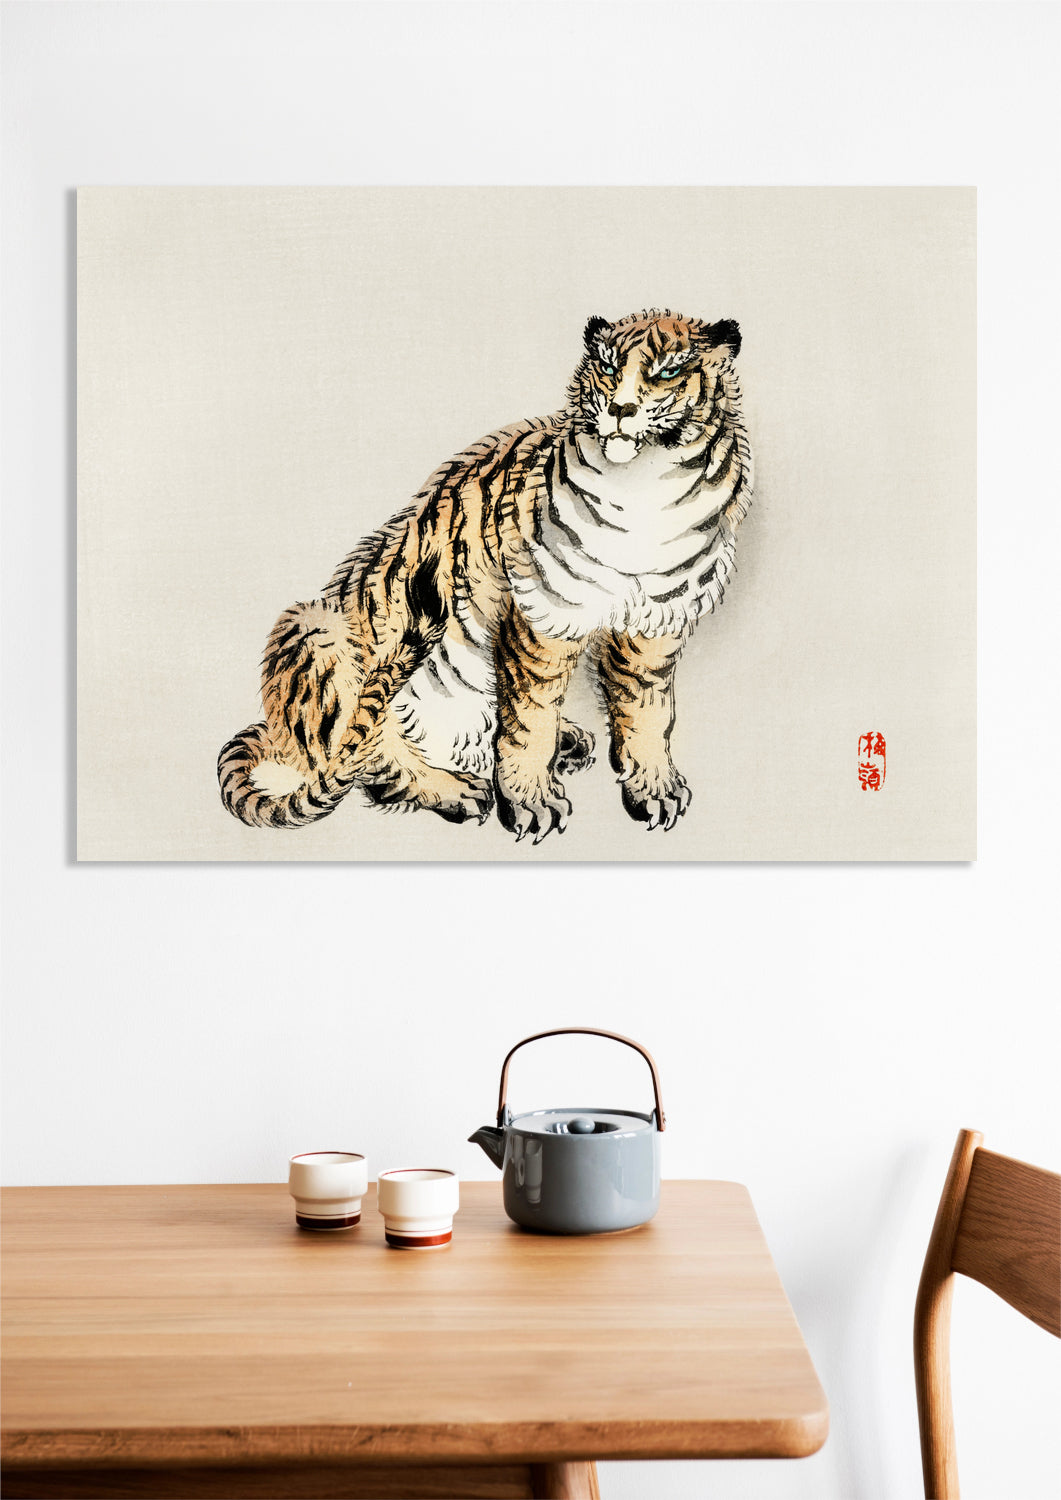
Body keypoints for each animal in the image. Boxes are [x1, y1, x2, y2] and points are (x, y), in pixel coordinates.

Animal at [217, 308, 753, 844]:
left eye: (668, 371)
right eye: (607, 367)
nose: (620, 409)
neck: (647, 488)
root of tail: (277, 735)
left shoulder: (655, 624)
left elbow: (648, 711)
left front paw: (655, 789)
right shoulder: (541, 618)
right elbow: (529, 720)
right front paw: (532, 803)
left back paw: (568, 740)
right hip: (314, 626)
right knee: (368, 760)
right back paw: (457, 790)